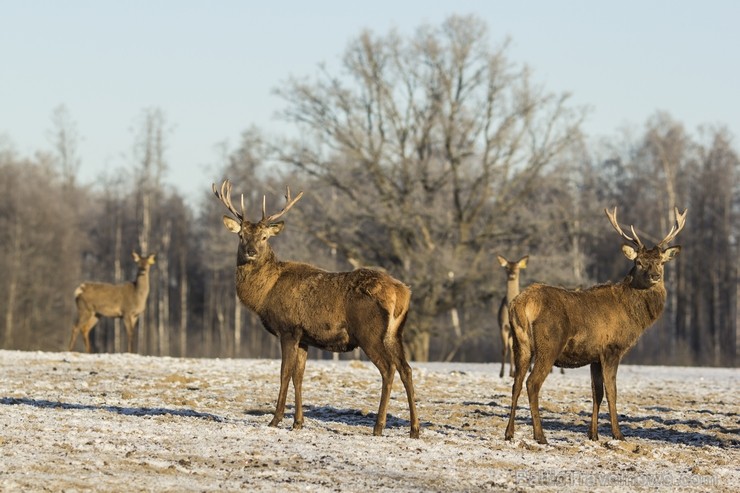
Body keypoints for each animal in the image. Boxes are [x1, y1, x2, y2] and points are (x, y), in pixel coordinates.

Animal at [214, 179, 422, 436]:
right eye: (241, 235)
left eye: (264, 237)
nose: (250, 251)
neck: (264, 295)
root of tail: (402, 292)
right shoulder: (304, 337)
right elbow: (299, 377)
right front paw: (298, 422)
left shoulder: (288, 329)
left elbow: (284, 373)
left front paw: (276, 419)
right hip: (395, 333)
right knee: (406, 369)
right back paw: (414, 429)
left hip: (369, 332)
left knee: (388, 368)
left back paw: (378, 426)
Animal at [502, 206, 688, 444]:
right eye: (639, 262)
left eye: (661, 262)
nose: (655, 276)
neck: (632, 316)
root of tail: (521, 303)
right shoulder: (612, 349)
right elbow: (612, 391)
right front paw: (618, 434)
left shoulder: (594, 356)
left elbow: (595, 392)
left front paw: (593, 434)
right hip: (548, 344)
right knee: (532, 383)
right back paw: (540, 436)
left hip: (520, 344)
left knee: (516, 383)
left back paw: (509, 433)